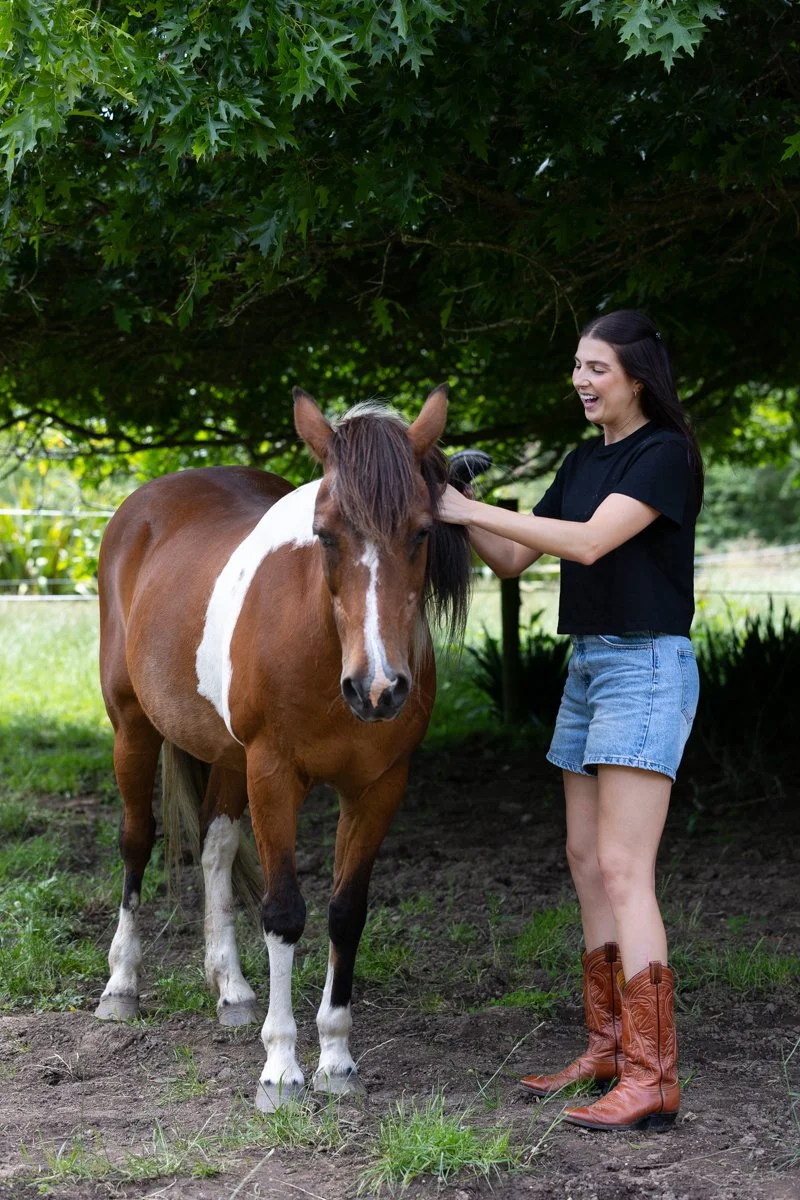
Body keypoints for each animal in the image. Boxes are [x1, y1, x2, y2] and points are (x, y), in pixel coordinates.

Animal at [95, 384, 475, 1110]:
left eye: (421, 531)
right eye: (324, 534)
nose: (378, 689)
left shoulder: (379, 786)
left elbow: (346, 913)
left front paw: (336, 1059)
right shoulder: (274, 775)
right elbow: (283, 912)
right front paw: (281, 1069)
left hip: (225, 755)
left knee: (215, 846)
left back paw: (232, 989)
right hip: (134, 728)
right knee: (135, 841)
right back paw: (121, 986)